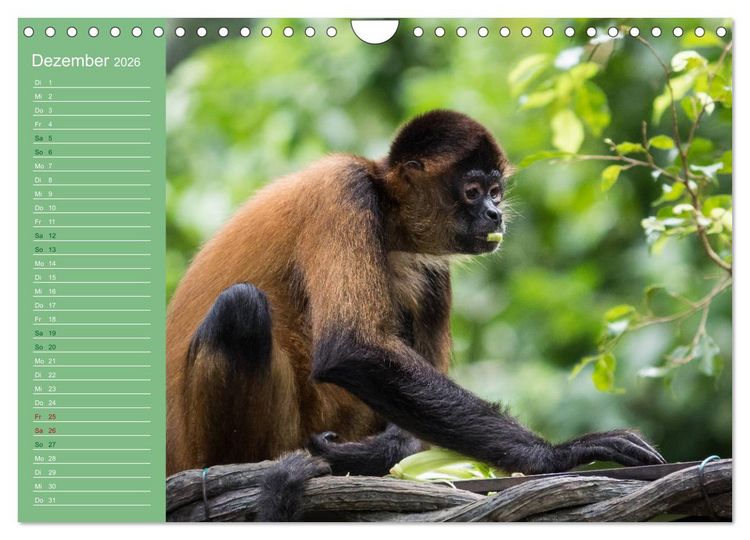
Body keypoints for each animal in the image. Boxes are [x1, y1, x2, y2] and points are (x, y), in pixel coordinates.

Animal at [166, 110, 665, 518]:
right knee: (240, 309)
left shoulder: (431, 263)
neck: (387, 216)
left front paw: (381, 452)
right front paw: (558, 454)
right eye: (473, 192)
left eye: (496, 192)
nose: (495, 215)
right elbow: (350, 348)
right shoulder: (344, 193)